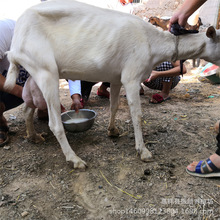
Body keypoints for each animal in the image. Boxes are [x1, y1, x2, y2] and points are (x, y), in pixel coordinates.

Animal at [3, 0, 220, 168]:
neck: (152, 42)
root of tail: (15, 43)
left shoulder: (117, 78)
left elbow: (114, 106)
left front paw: (112, 130)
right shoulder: (132, 77)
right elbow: (137, 114)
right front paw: (143, 150)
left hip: (34, 72)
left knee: (28, 108)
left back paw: (33, 136)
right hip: (45, 71)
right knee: (54, 123)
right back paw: (74, 159)